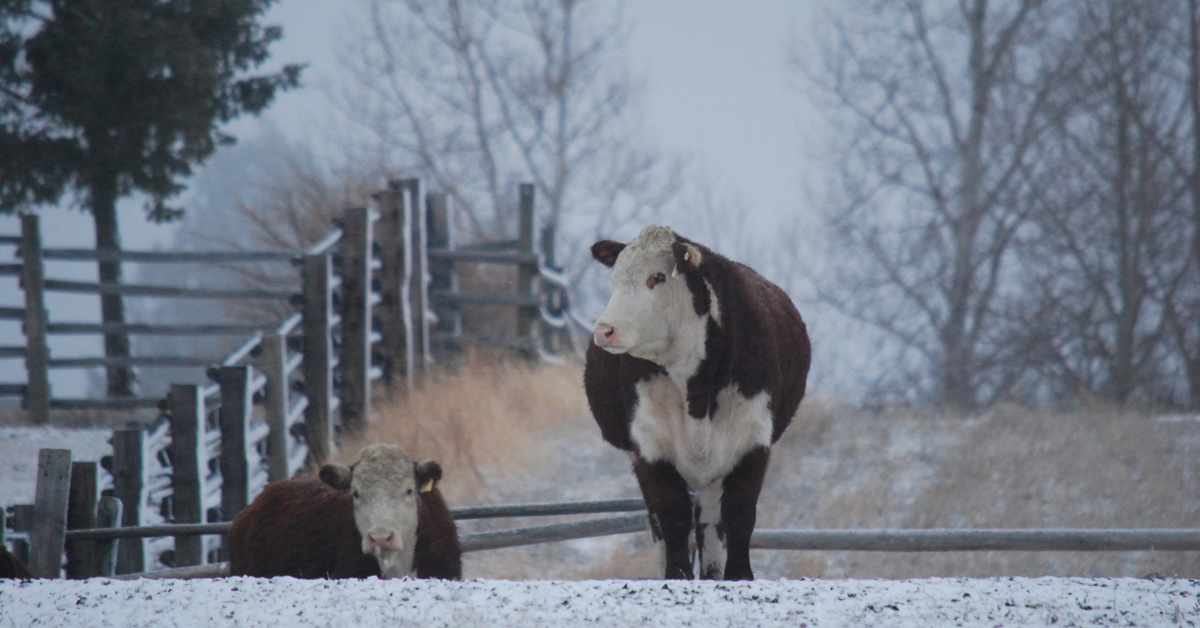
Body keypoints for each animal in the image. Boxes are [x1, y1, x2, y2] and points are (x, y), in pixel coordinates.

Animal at [578, 224, 806, 581]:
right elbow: (672, 513)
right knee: (660, 522)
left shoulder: (754, 439)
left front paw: (740, 575)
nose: (604, 331)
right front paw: (677, 574)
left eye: (656, 277)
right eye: (616, 277)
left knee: (712, 521)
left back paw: (713, 572)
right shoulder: (649, 443)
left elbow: (740, 512)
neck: (696, 392)